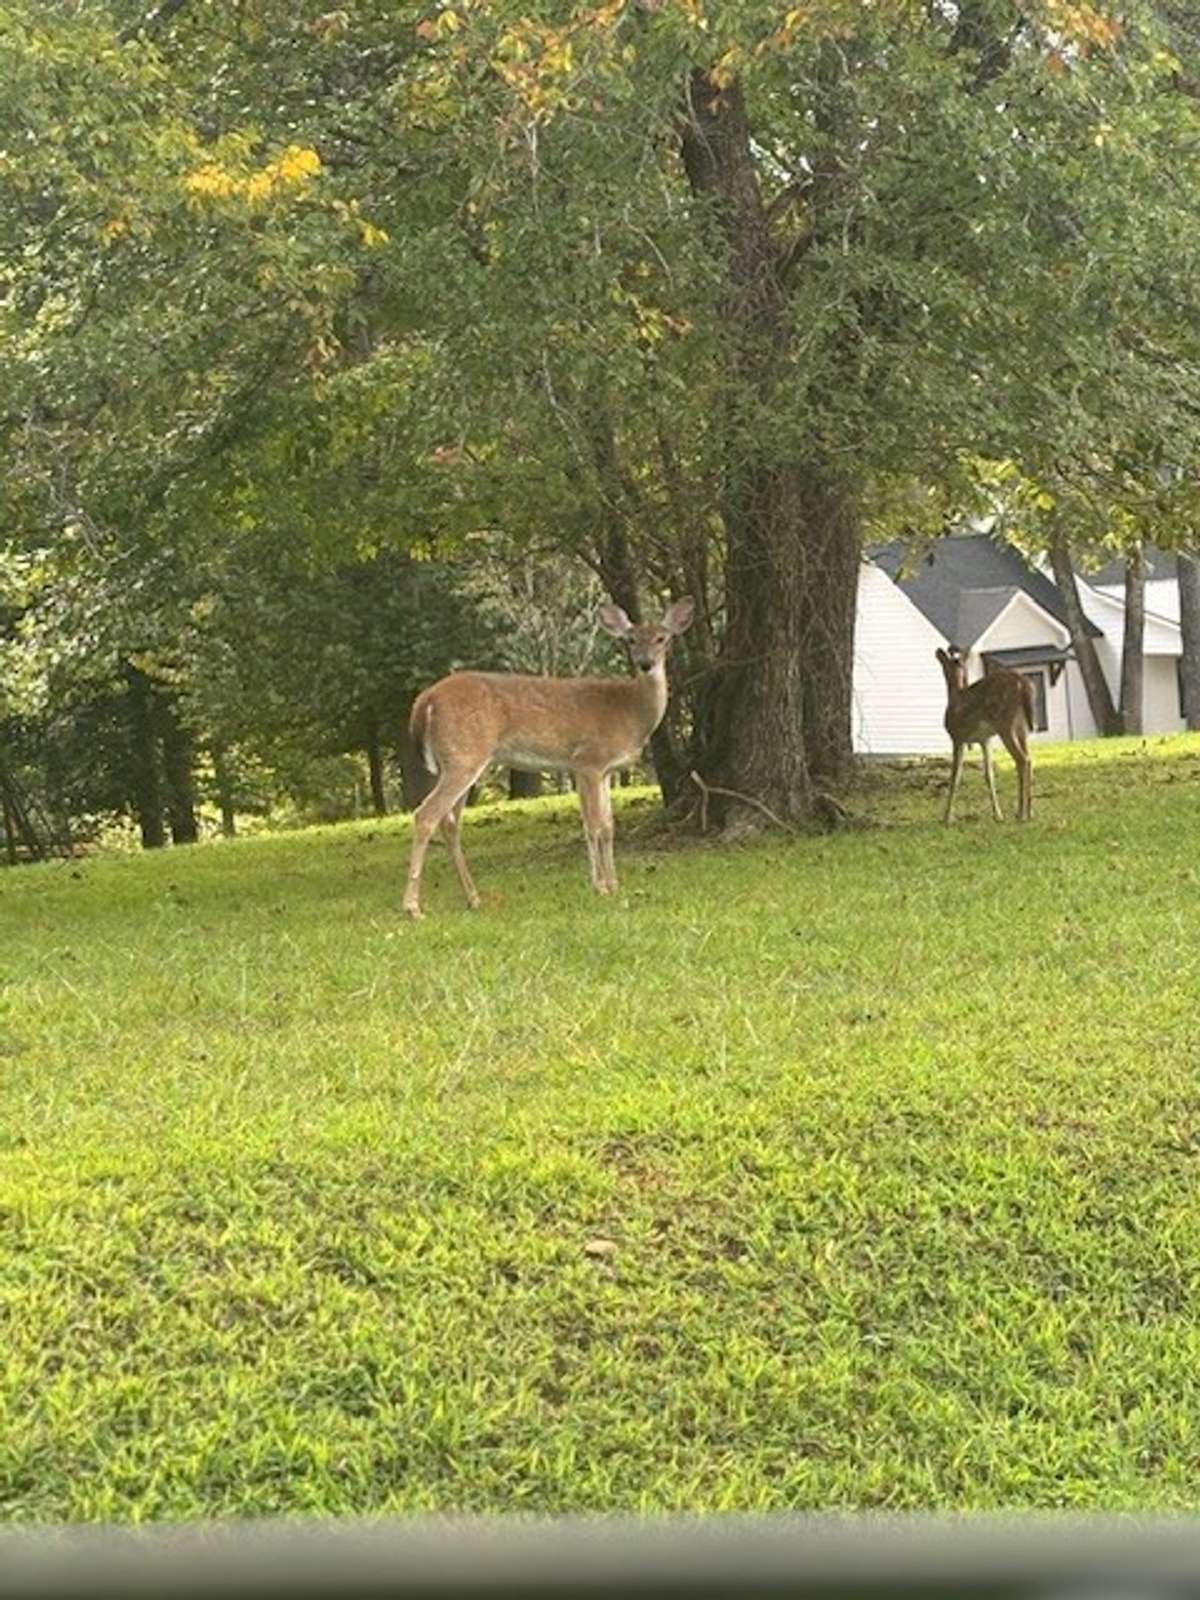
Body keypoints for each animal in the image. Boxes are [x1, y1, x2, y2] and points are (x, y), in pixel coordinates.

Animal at [402, 597, 695, 918]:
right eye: (630, 640)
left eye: (662, 638)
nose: (646, 663)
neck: (628, 711)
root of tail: (425, 700)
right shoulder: (587, 761)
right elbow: (593, 826)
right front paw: (601, 887)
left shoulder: (604, 770)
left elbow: (608, 826)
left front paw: (614, 884)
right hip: (464, 756)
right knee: (426, 814)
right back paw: (413, 907)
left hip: (460, 760)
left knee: (450, 822)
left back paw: (473, 898)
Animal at [935, 646, 1034, 824]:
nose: (938, 651)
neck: (955, 696)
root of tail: (1023, 684)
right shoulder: (985, 739)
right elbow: (989, 775)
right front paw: (998, 815)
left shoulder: (957, 737)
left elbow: (955, 777)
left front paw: (947, 818)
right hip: (1022, 727)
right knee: (1029, 758)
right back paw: (1029, 812)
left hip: (1005, 724)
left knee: (1022, 759)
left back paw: (1020, 814)